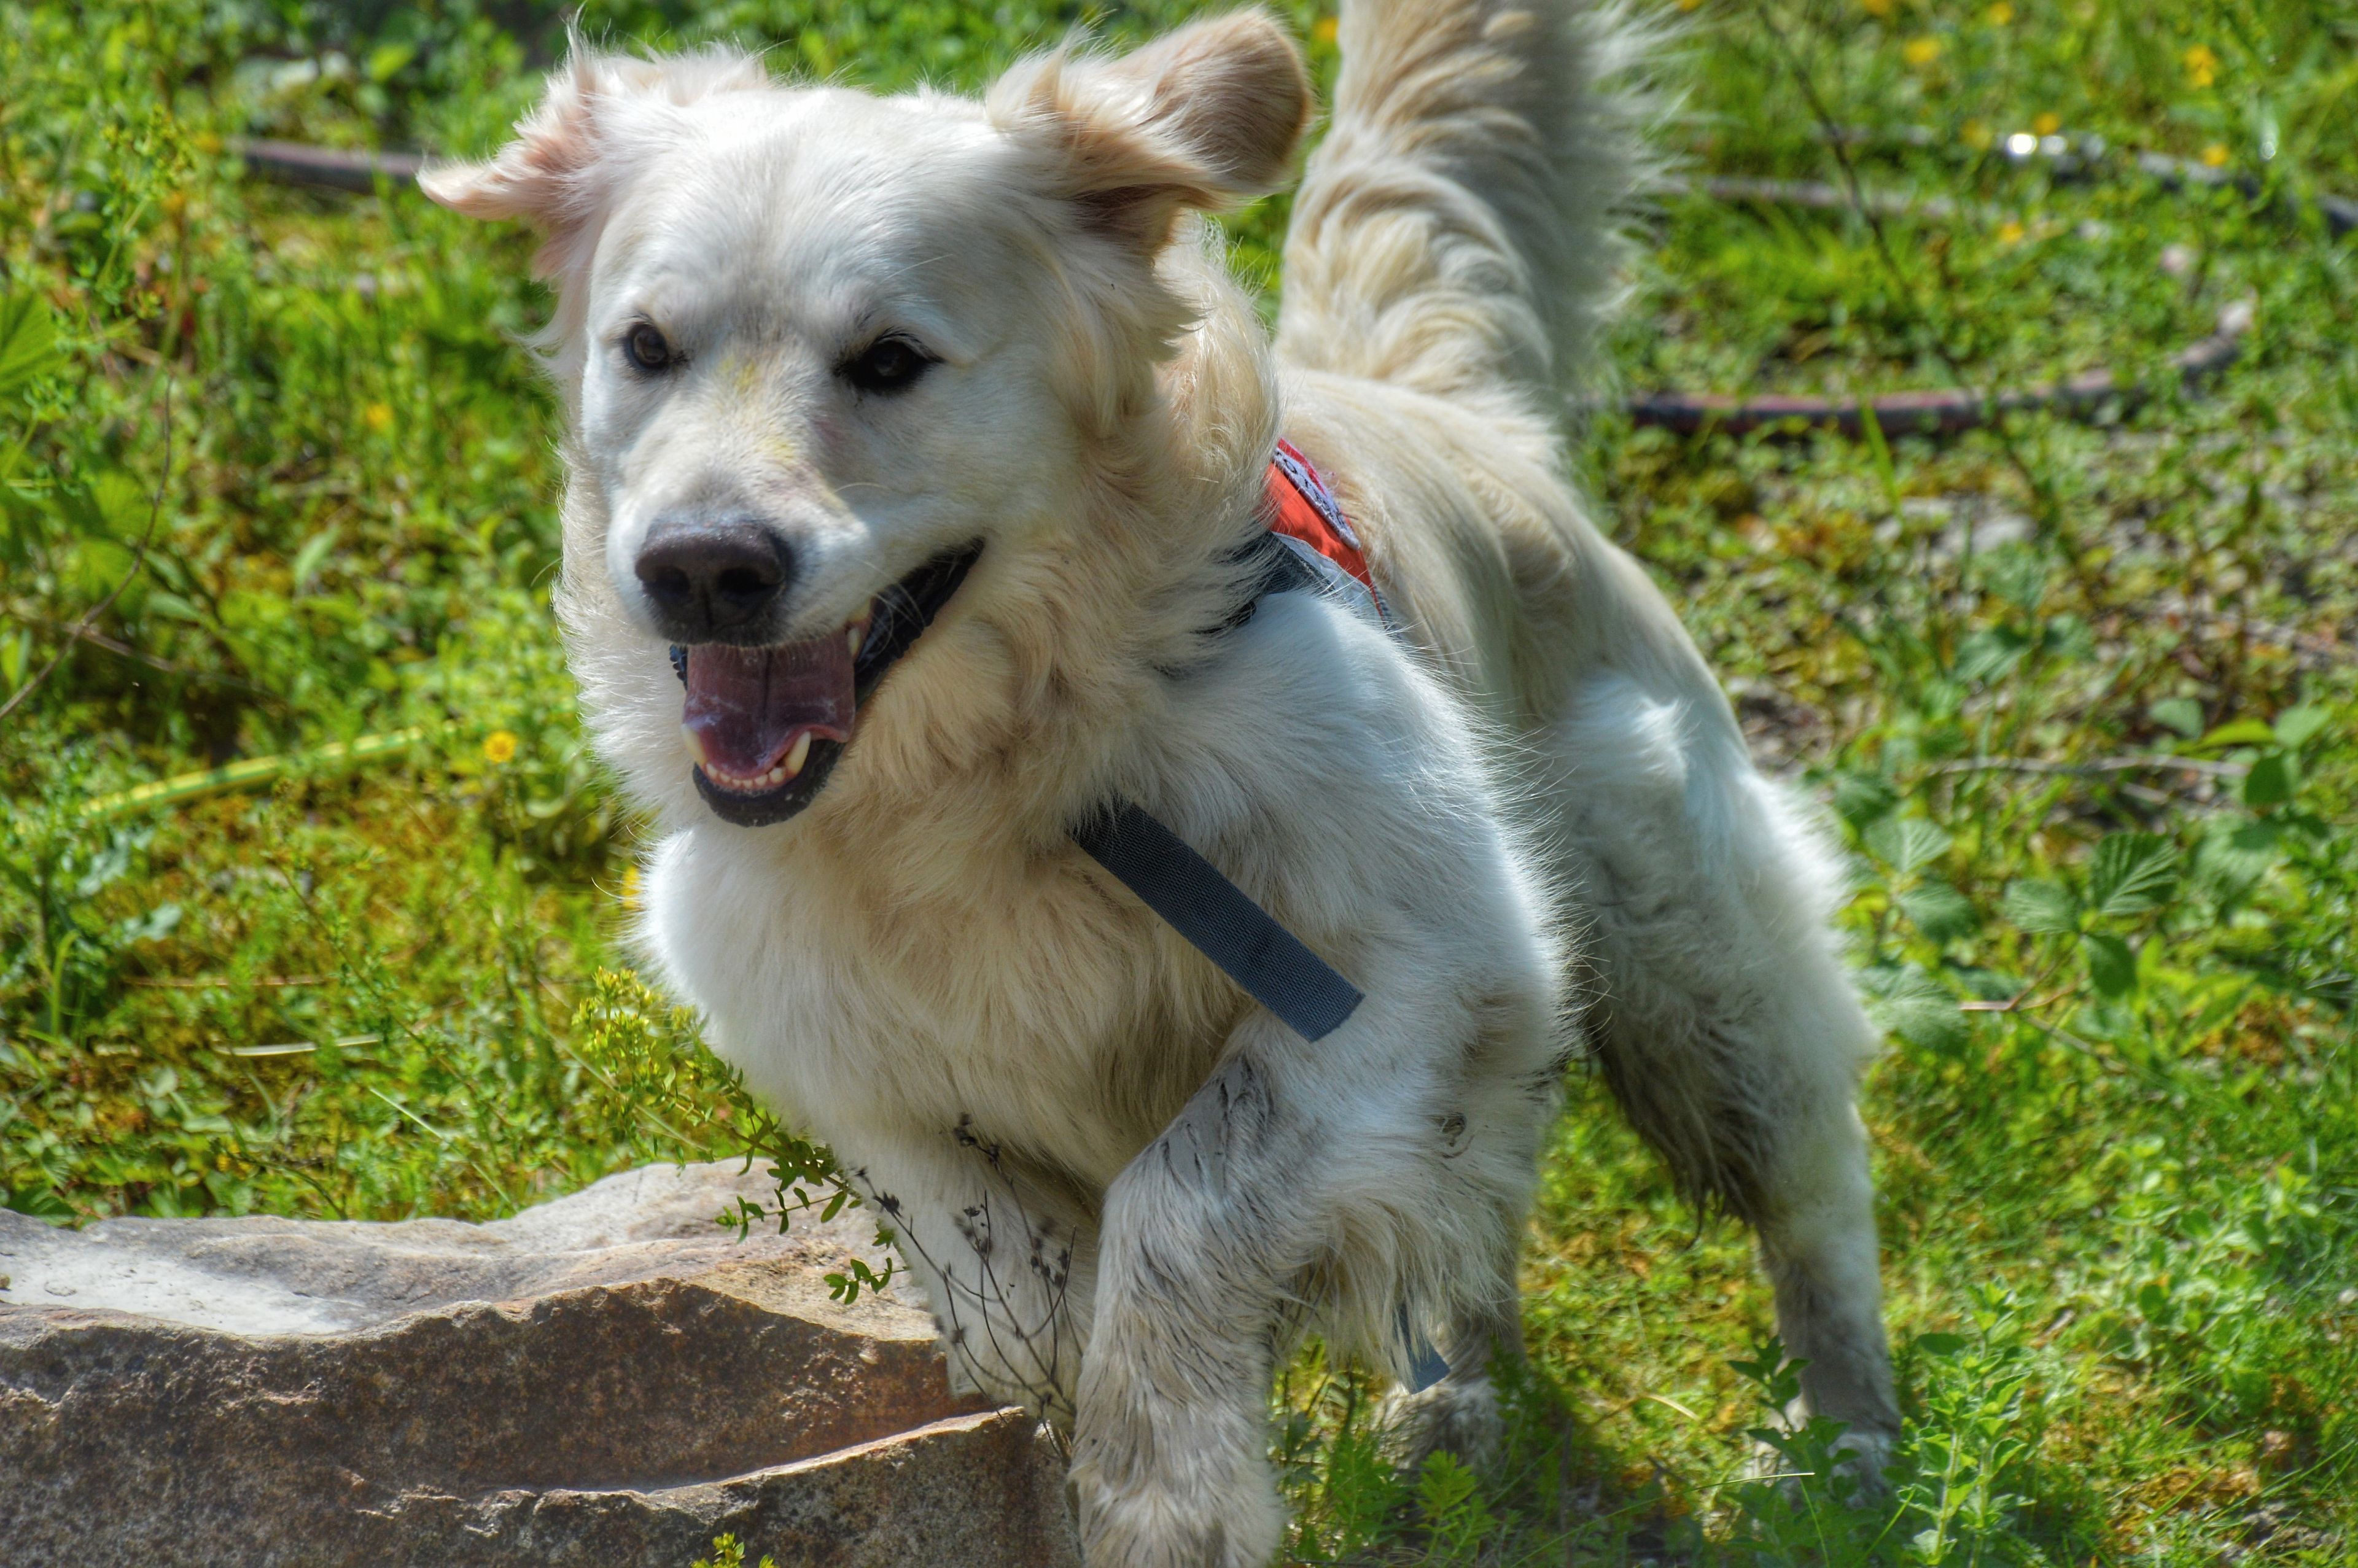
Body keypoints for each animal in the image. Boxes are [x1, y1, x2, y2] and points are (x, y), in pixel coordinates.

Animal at [419, 2, 1896, 1556]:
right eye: (646, 346)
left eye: (889, 359)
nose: (703, 564)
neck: (974, 787)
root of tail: (1442, 408)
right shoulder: (831, 1051)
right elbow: (1004, 1284)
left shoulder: (1421, 960)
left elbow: (1178, 1200)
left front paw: (1167, 1487)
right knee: (1467, 1222)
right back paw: (1451, 1418)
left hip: (1688, 960)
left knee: (1811, 1186)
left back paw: (1847, 1445)